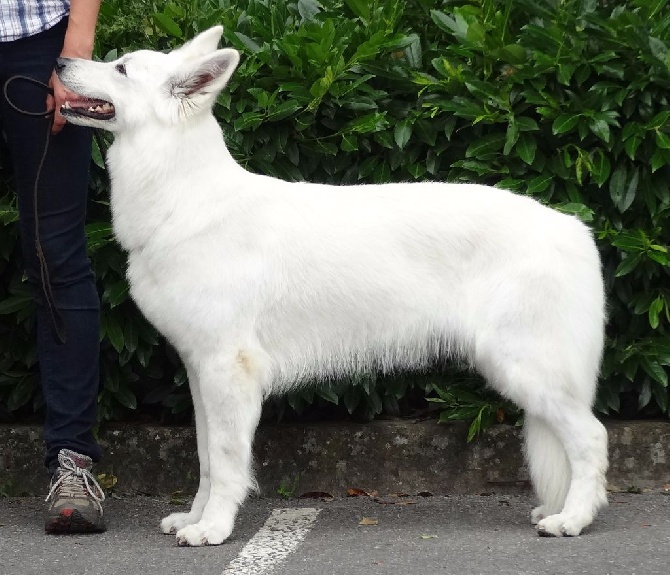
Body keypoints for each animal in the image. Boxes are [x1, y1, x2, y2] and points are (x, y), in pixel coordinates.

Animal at [56, 27, 608, 548]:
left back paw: (573, 519)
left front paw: (213, 528)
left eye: (122, 69)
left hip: (524, 367)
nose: (59, 61)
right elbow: (206, 458)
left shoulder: (228, 371)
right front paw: (194, 517)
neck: (184, 198)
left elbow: (227, 459)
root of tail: (575, 229)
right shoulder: (201, 370)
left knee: (592, 438)